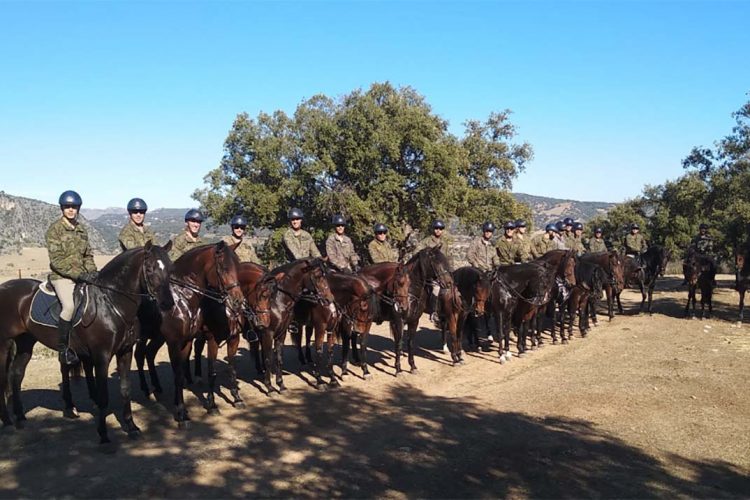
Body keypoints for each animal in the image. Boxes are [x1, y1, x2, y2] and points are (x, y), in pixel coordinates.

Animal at [0, 242, 173, 442]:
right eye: (150, 269)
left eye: (170, 268)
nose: (168, 304)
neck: (112, 304)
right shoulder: (101, 357)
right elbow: (103, 395)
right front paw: (103, 434)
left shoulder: (125, 351)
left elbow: (125, 389)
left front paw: (131, 426)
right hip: (4, 345)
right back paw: (7, 421)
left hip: (26, 342)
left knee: (16, 374)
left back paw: (20, 418)